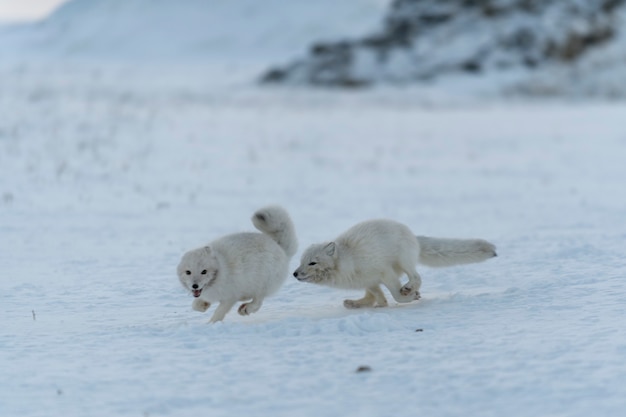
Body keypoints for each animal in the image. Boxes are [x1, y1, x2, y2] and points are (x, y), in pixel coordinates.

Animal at [294, 219, 498, 308]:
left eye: (312, 263)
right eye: (301, 262)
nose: (295, 274)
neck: (347, 261)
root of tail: (412, 235)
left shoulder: (384, 272)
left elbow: (395, 295)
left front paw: (408, 297)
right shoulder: (369, 281)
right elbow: (377, 296)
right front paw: (377, 304)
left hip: (404, 260)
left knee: (417, 276)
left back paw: (409, 288)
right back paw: (355, 303)